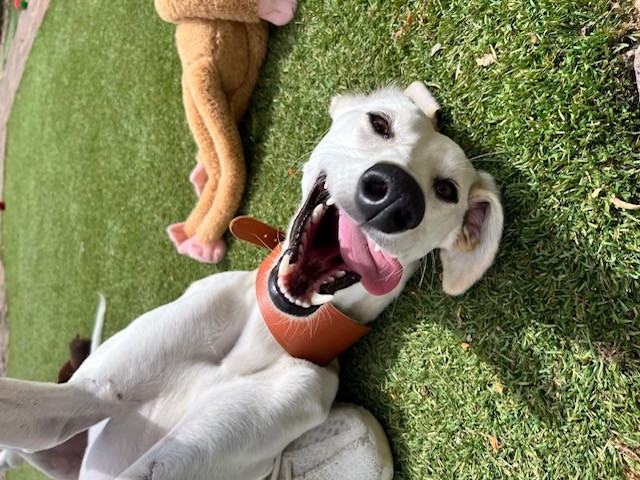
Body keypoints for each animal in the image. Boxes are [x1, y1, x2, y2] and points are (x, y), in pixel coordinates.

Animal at [0, 82, 503, 479]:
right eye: (380, 123)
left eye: (447, 191)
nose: (396, 195)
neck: (270, 330)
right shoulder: (88, 393)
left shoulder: (188, 455)